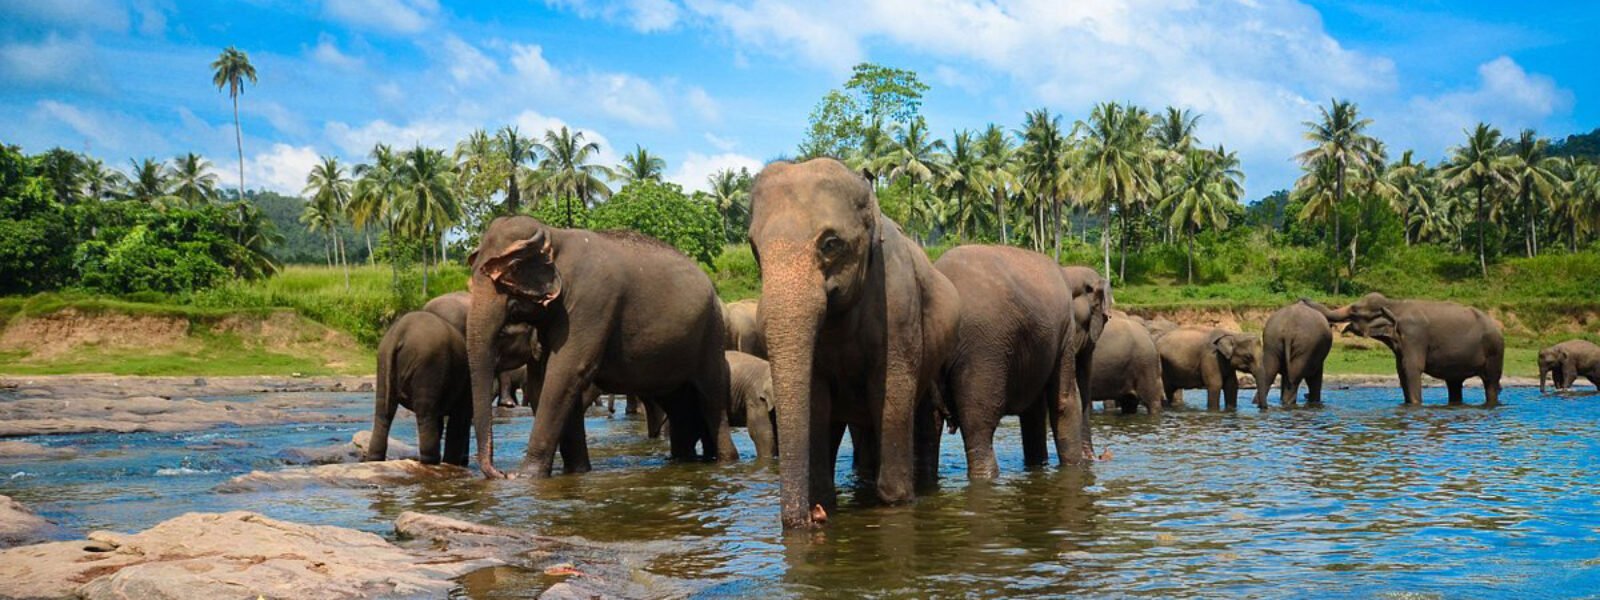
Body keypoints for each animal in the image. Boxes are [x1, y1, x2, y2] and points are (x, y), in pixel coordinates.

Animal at [366, 311, 470, 466]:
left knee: (383, 411)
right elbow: (459, 418)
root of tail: (400, 332)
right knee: (426, 413)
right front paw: (451, 463)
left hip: (383, 361)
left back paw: (374, 458)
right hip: (428, 364)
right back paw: (431, 461)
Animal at [465, 216, 736, 479]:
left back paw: (725, 461)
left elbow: (566, 372)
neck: (554, 235)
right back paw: (683, 460)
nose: (500, 473)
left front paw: (526, 476)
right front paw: (577, 471)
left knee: (710, 399)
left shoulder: (591, 301)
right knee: (679, 405)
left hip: (712, 334)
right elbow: (548, 381)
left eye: (507, 276)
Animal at [748, 158, 961, 529]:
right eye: (753, 248)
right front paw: (824, 501)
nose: (814, 516)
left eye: (831, 244)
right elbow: (816, 401)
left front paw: (896, 502)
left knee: (922, 416)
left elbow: (891, 392)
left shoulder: (898, 305)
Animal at [934, 245, 1095, 481]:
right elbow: (1064, 401)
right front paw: (1075, 469)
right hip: (984, 351)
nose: (1096, 459)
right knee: (979, 425)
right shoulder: (1065, 330)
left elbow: (1034, 411)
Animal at [1303, 294, 1504, 406]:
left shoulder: (1414, 336)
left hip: (1495, 351)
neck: (1394, 305)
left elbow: (1411, 368)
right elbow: (1401, 371)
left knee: (1491, 383)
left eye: (1354, 311)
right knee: (1454, 384)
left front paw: (1414, 405)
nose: (1303, 298)